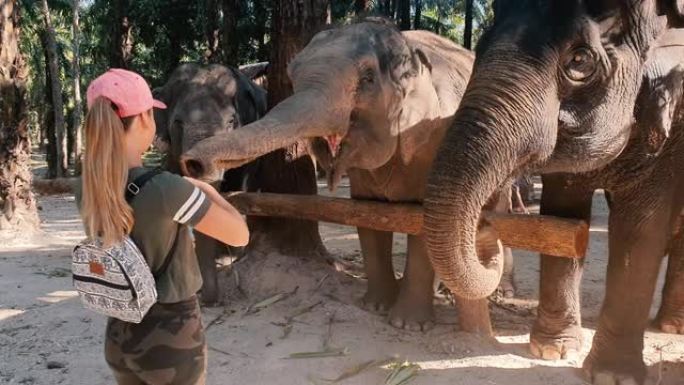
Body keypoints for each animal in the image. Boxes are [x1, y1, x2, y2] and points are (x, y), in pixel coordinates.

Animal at [179, 18, 510, 330]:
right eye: (292, 76)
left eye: (367, 79)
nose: (192, 164)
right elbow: (367, 216)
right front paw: (375, 306)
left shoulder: (435, 139)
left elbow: (422, 223)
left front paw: (408, 324)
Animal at [422, 1, 684, 382]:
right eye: (481, 44)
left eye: (580, 60)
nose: (484, 224)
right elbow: (564, 218)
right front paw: (552, 350)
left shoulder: (672, 130)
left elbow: (639, 231)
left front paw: (611, 376)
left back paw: (671, 327)